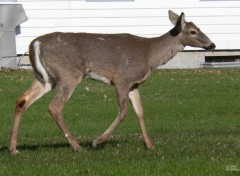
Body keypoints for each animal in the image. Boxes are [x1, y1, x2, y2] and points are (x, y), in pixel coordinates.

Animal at [9, 10, 216, 154]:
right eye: (193, 31)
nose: (212, 45)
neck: (149, 56)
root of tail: (35, 44)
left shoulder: (134, 83)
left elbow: (140, 111)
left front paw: (149, 144)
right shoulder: (121, 78)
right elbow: (123, 112)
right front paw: (97, 141)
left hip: (46, 78)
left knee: (22, 100)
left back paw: (13, 148)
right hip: (68, 74)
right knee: (55, 107)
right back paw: (77, 146)